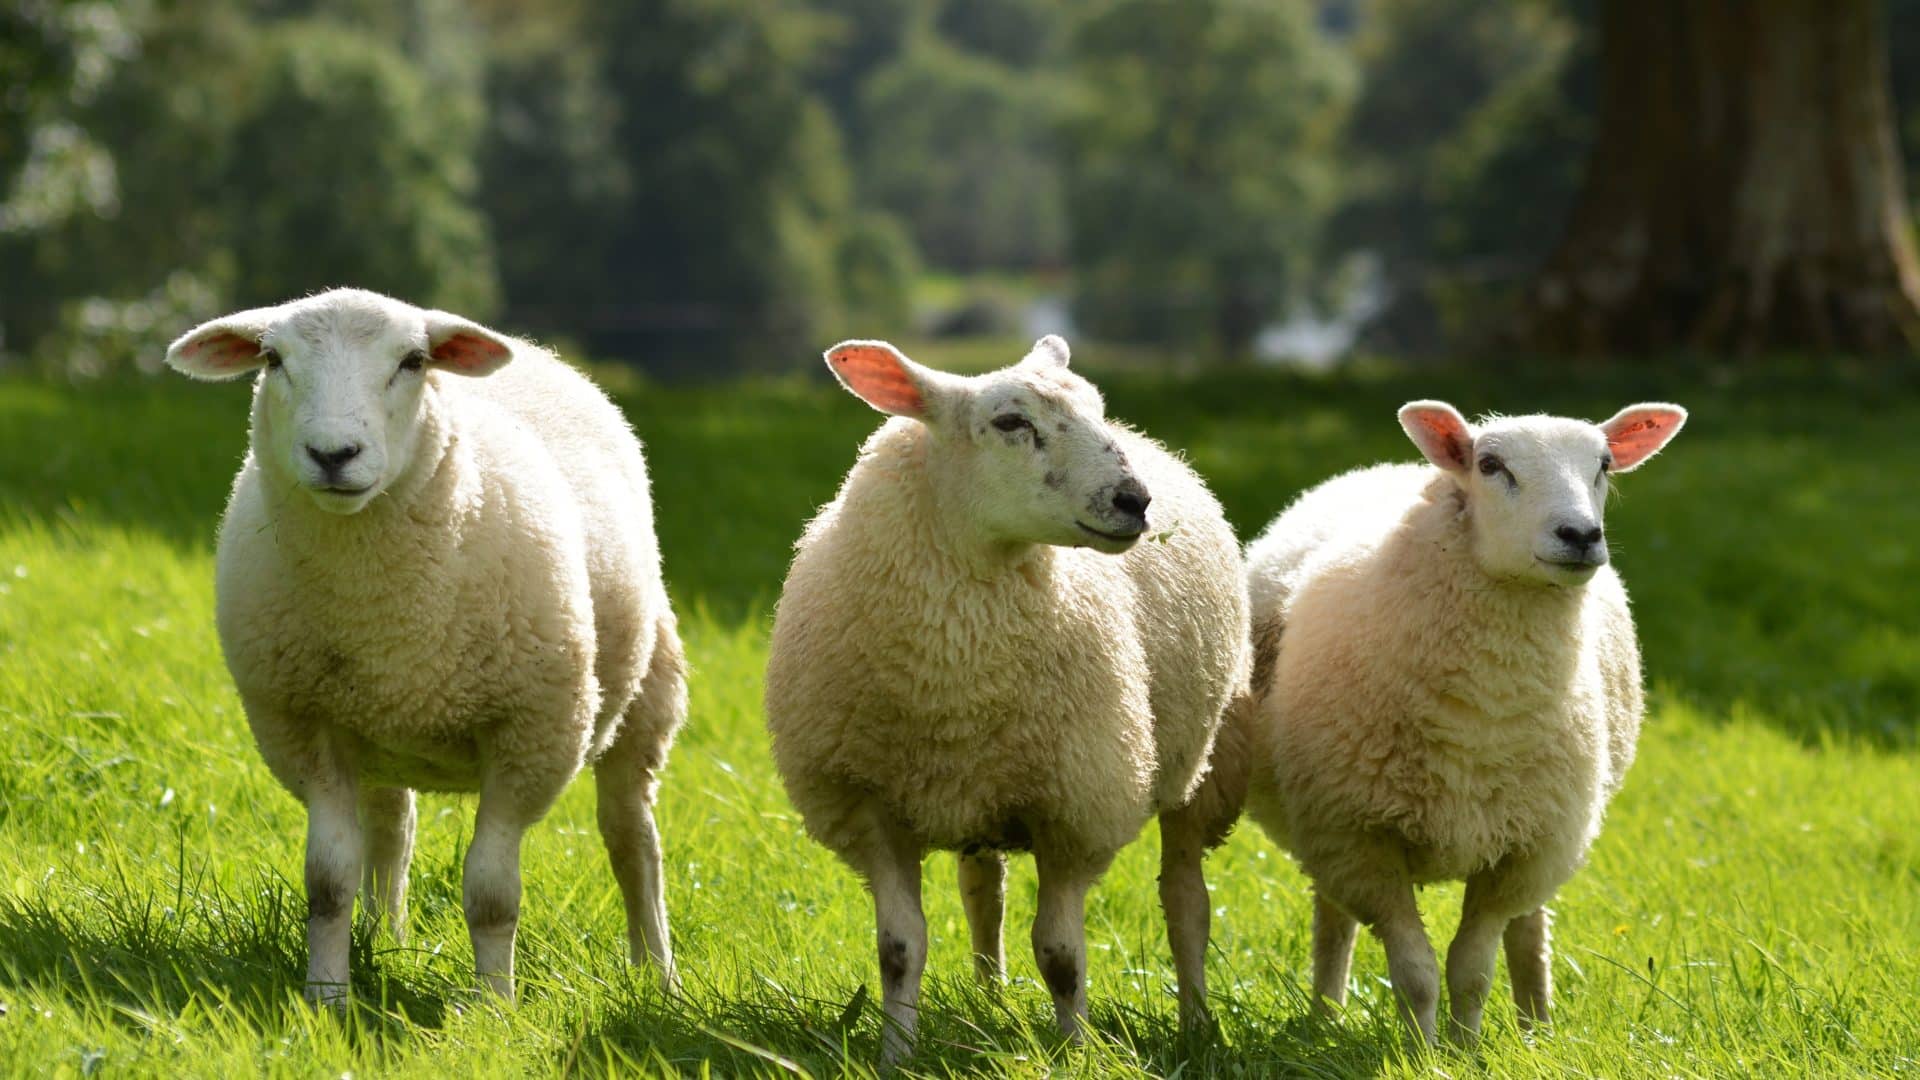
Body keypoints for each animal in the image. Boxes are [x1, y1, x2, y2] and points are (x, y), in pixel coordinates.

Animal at [164, 288, 686, 1005]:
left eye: (413, 361)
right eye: (272, 360)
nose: (334, 454)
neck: (380, 610)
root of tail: (536, 352)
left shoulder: (532, 736)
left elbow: (492, 894)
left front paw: (497, 1009)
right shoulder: (304, 725)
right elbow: (329, 880)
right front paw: (327, 998)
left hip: (645, 692)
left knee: (632, 838)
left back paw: (657, 974)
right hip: (377, 730)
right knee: (392, 828)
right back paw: (385, 939)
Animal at [764, 337, 1250, 1061]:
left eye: (1095, 408)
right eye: (1010, 423)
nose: (1134, 500)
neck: (956, 671)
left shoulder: (1074, 807)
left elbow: (1060, 955)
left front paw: (1076, 1054)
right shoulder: (871, 806)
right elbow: (899, 949)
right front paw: (895, 1054)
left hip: (1199, 762)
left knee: (1186, 901)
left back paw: (1195, 1021)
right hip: (981, 787)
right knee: (982, 891)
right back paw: (989, 999)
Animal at [1237, 399, 1685, 1046]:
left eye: (1603, 464)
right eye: (1491, 465)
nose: (1580, 535)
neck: (1483, 718)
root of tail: (1398, 465)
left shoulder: (1523, 850)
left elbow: (1472, 968)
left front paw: (1467, 1048)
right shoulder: (1361, 838)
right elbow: (1417, 971)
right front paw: (1424, 1051)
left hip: (1546, 825)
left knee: (1530, 927)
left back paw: (1537, 1028)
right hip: (1325, 826)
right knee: (1332, 920)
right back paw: (1324, 1017)